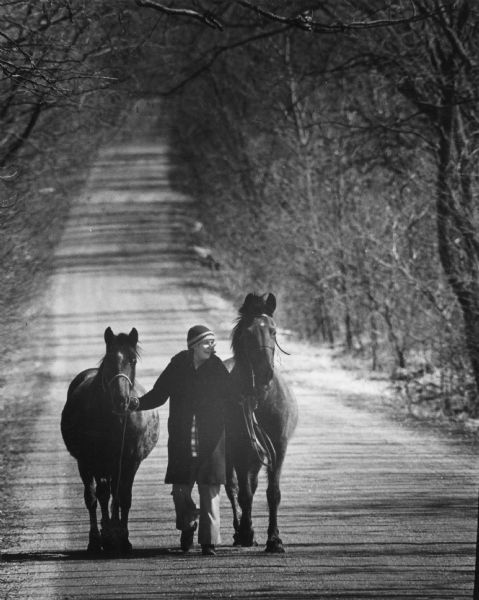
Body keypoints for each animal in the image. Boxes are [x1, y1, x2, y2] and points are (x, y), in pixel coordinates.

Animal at [60, 328, 159, 552]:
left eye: (133, 360)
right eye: (109, 359)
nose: (121, 400)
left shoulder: (130, 462)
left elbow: (124, 497)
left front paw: (123, 537)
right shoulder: (87, 461)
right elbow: (93, 497)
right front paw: (96, 539)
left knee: (114, 493)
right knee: (104, 494)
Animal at [224, 292, 298, 552]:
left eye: (273, 331)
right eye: (248, 333)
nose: (266, 373)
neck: (260, 398)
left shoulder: (278, 446)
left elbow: (272, 493)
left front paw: (274, 539)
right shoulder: (237, 446)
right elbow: (243, 493)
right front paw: (247, 533)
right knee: (233, 487)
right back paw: (240, 531)